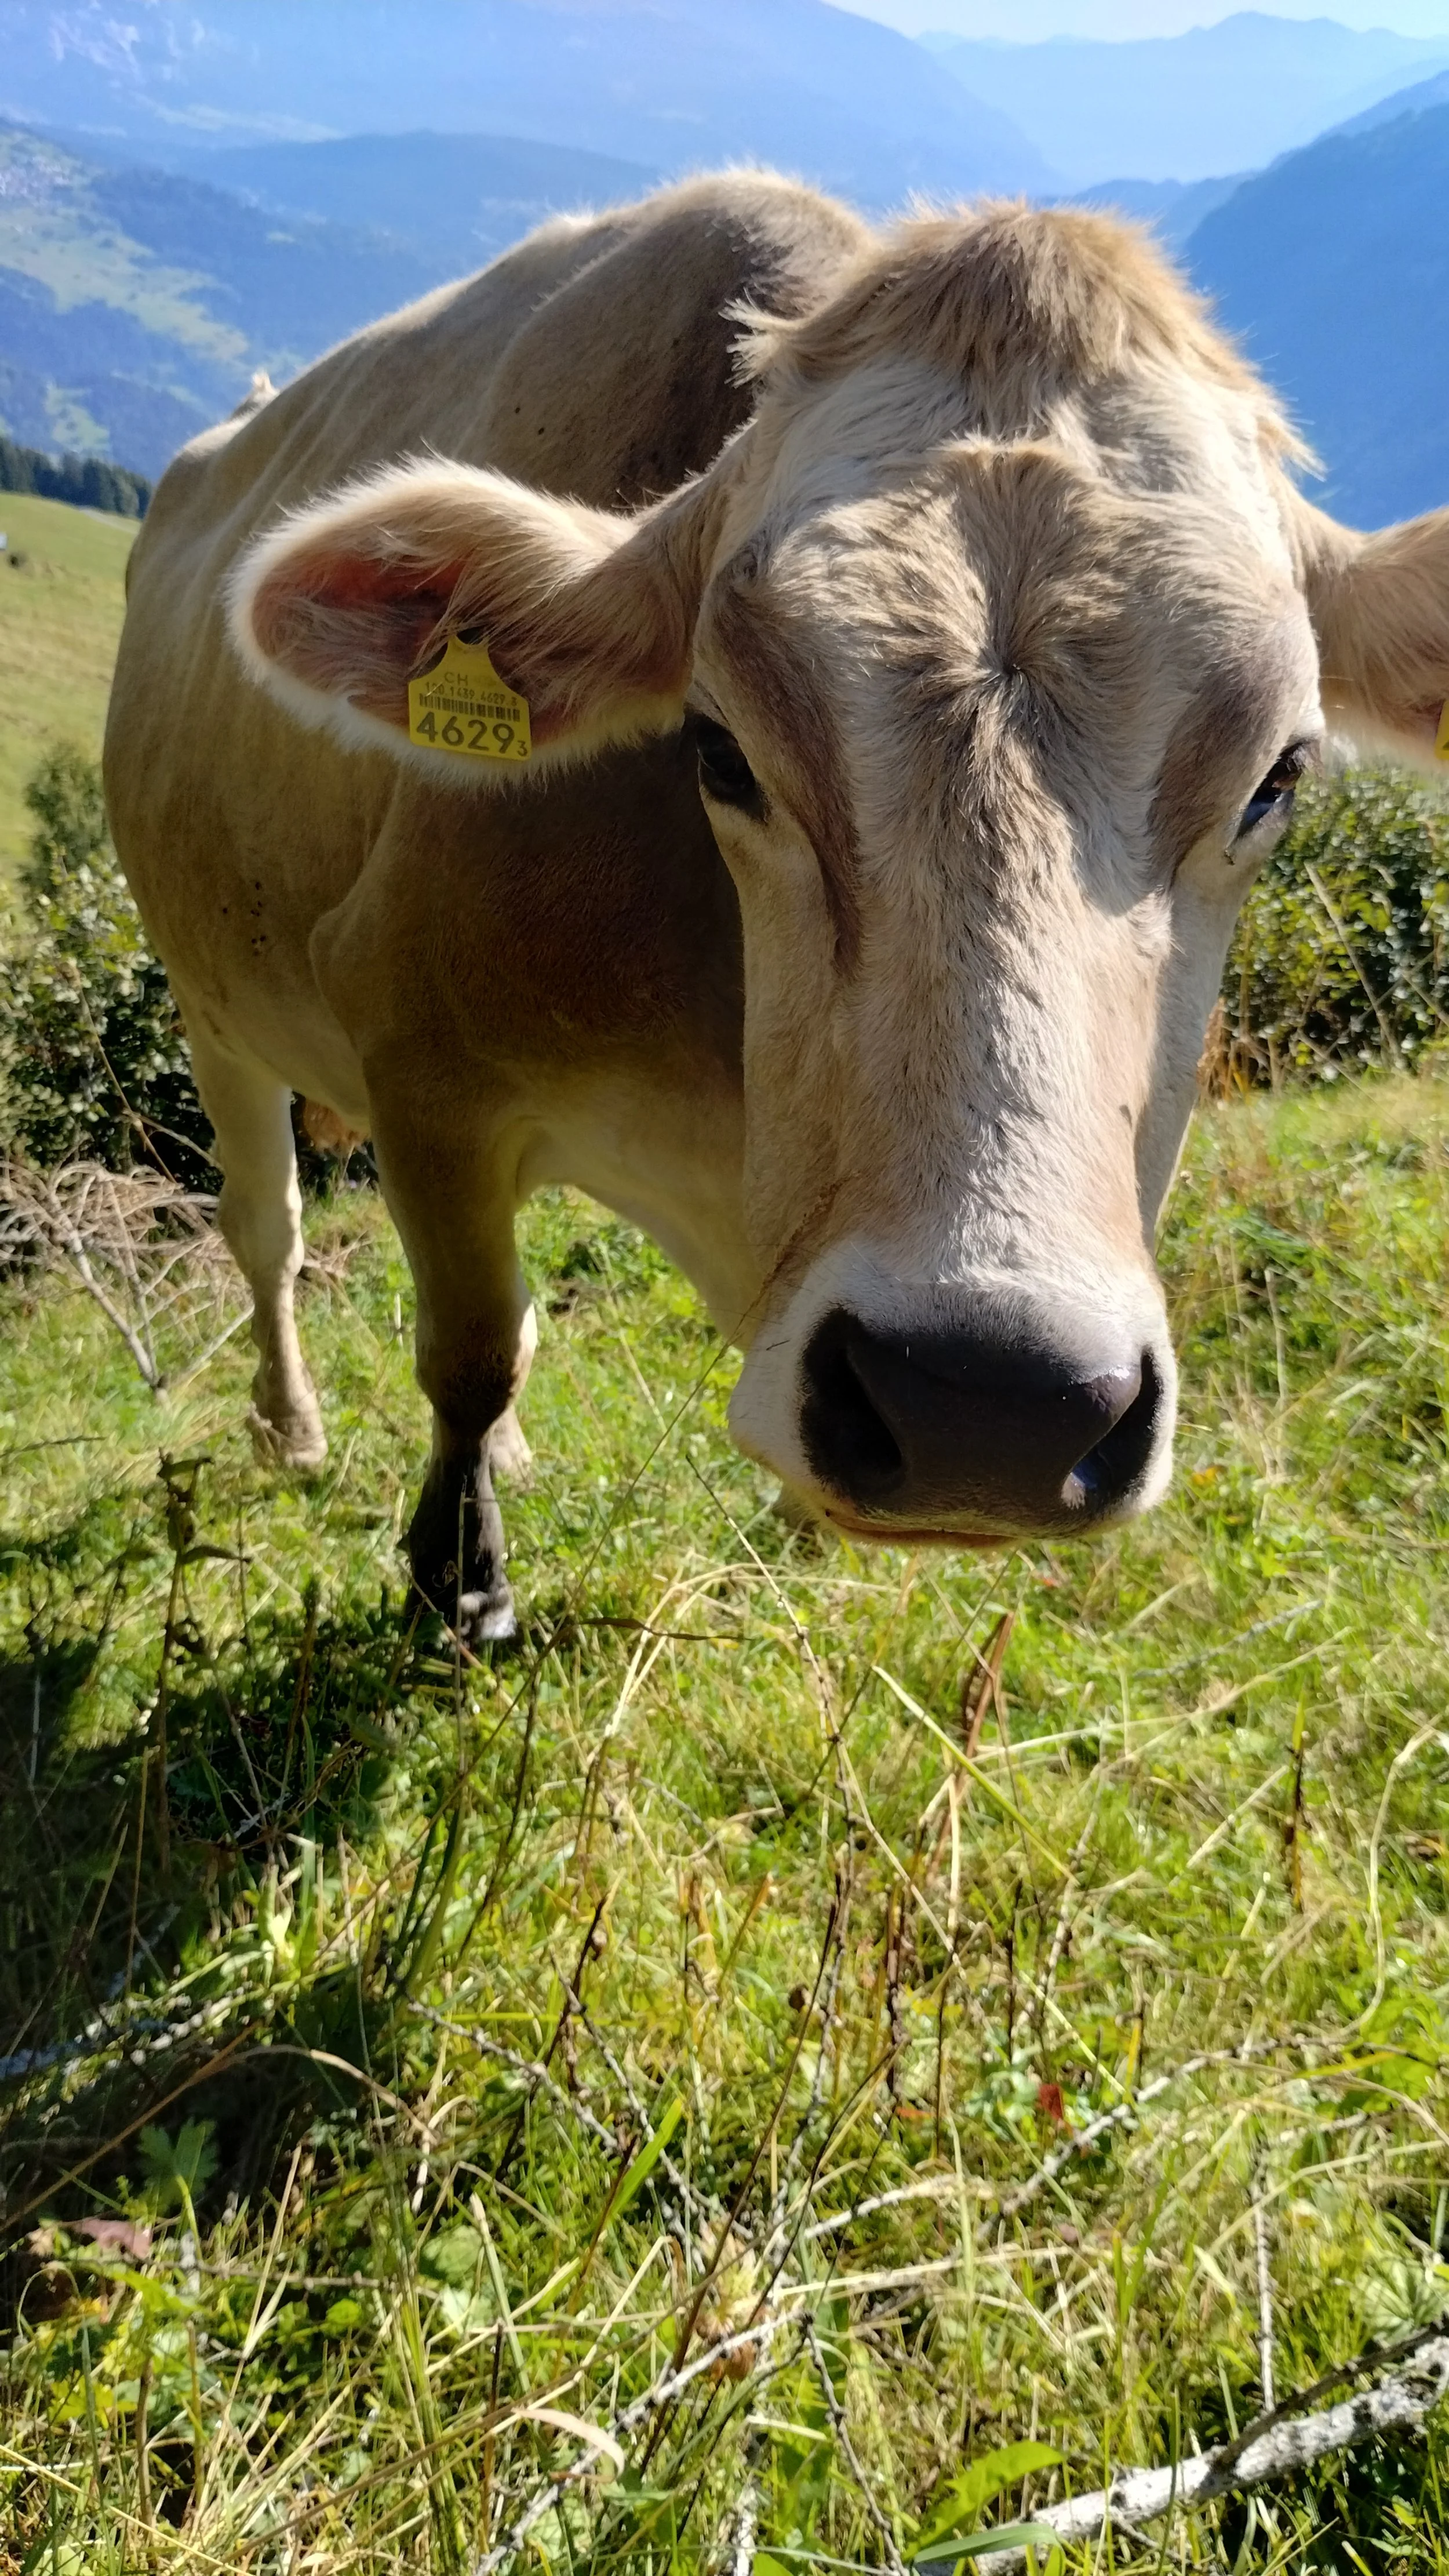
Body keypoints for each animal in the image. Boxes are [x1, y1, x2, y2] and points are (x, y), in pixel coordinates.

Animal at [104, 172, 1449, 1643]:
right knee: (269, 1230)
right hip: (211, 1002)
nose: (988, 1403)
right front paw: (459, 1577)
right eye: (718, 749)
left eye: (1282, 775)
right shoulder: (419, 1064)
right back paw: (288, 1427)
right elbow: (465, 1351)